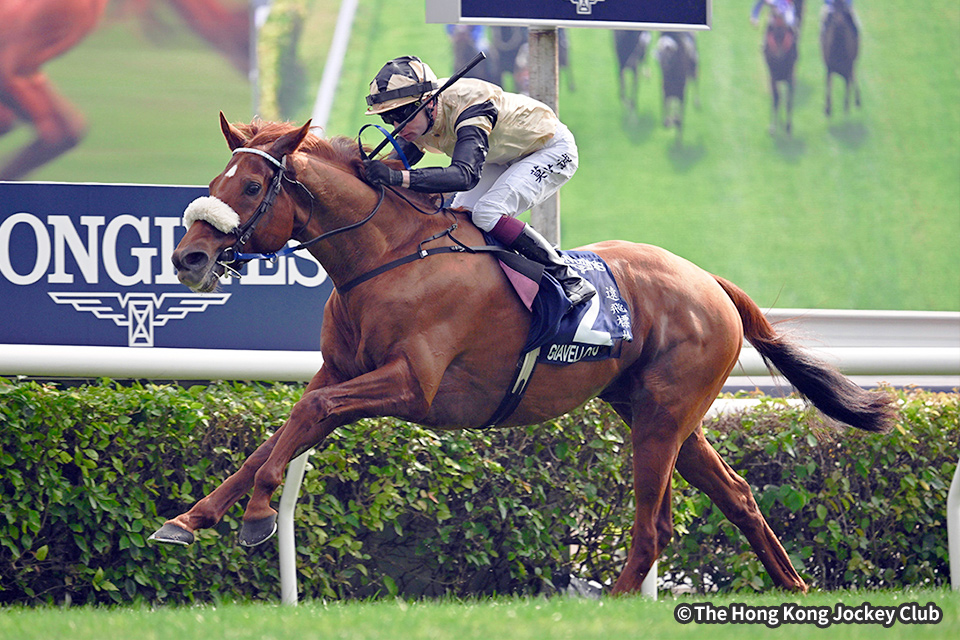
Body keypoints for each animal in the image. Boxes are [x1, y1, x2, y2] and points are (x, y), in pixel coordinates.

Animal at [150, 115, 897, 595]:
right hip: (661, 414)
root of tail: (710, 281)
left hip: (662, 414)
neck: (387, 257)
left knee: (655, 524)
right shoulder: (341, 371)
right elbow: (276, 435)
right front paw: (190, 519)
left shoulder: (411, 386)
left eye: (251, 188)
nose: (189, 258)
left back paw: (616, 603)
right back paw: (794, 587)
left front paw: (255, 518)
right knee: (737, 496)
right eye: (216, 179)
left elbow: (310, 418)